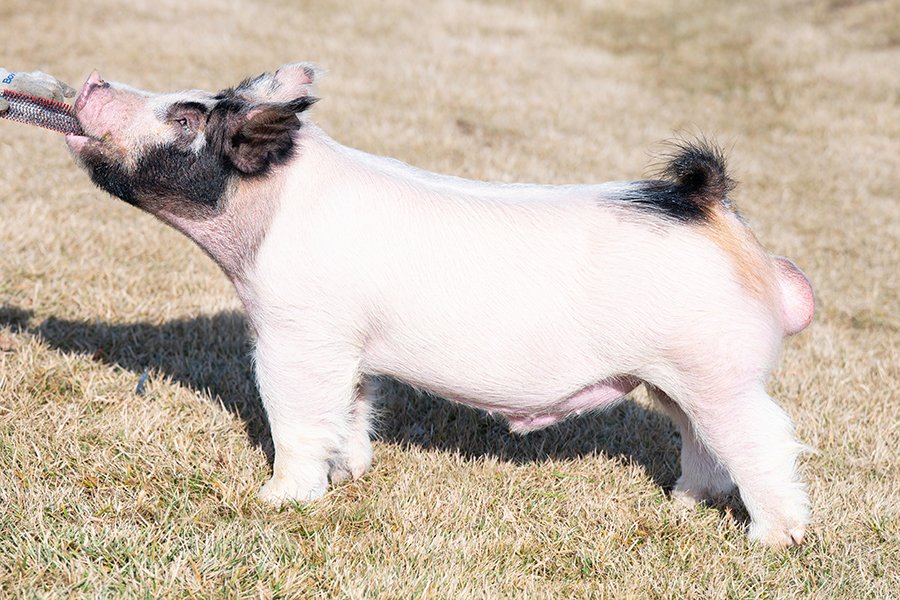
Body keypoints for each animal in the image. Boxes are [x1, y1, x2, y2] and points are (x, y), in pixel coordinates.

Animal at [64, 64, 815, 547]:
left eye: (187, 117)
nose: (92, 83)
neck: (265, 219)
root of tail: (706, 204)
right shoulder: (351, 351)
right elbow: (353, 409)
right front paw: (351, 473)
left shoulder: (299, 334)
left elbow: (296, 416)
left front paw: (276, 500)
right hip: (680, 379)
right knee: (701, 442)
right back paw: (683, 504)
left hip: (719, 371)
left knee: (765, 440)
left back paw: (771, 540)